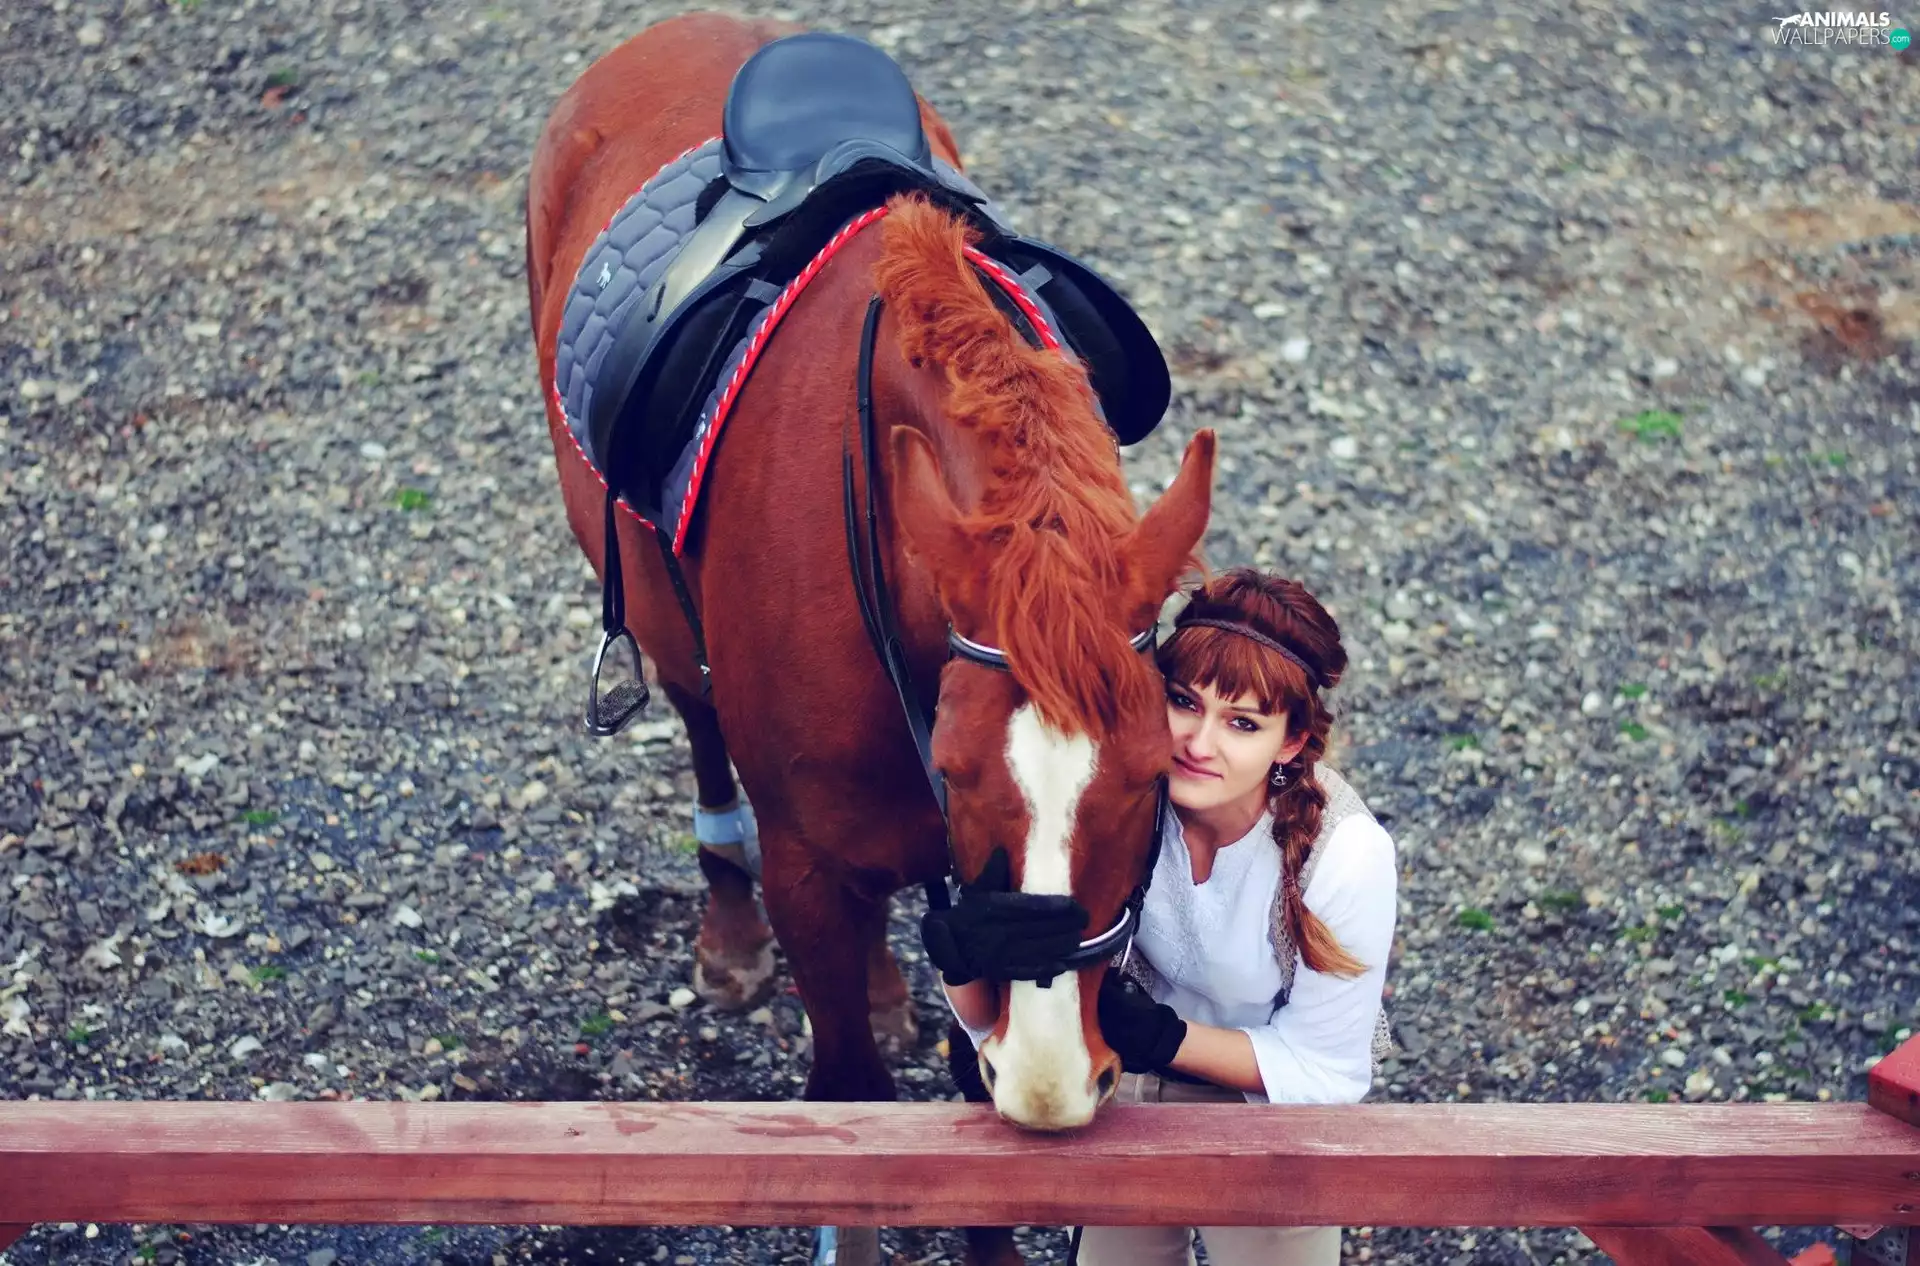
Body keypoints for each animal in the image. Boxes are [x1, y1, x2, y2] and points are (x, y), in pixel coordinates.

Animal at [526, 10, 1214, 1254]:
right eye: (960, 765)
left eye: (1156, 776)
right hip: (646, 594)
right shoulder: (809, 865)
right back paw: (729, 930)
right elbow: (852, 1102)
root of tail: (677, 29)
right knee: (699, 717)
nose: (1055, 1083)